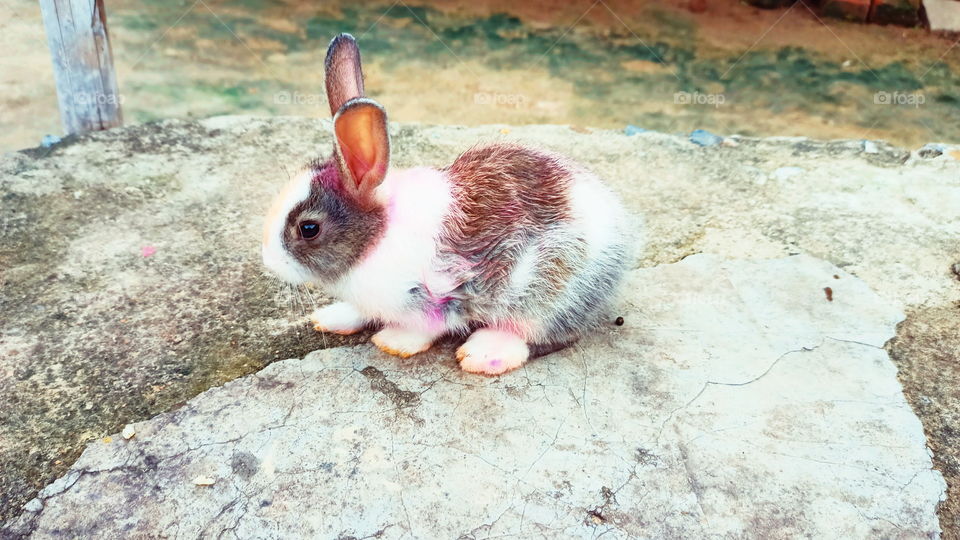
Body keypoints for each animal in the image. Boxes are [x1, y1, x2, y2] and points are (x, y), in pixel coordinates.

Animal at [262, 33, 635, 375]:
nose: (268, 262)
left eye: (309, 228)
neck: (375, 238)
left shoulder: (440, 295)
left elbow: (426, 327)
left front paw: (394, 342)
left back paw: (485, 353)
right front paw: (331, 317)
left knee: (536, 332)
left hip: (548, 289)